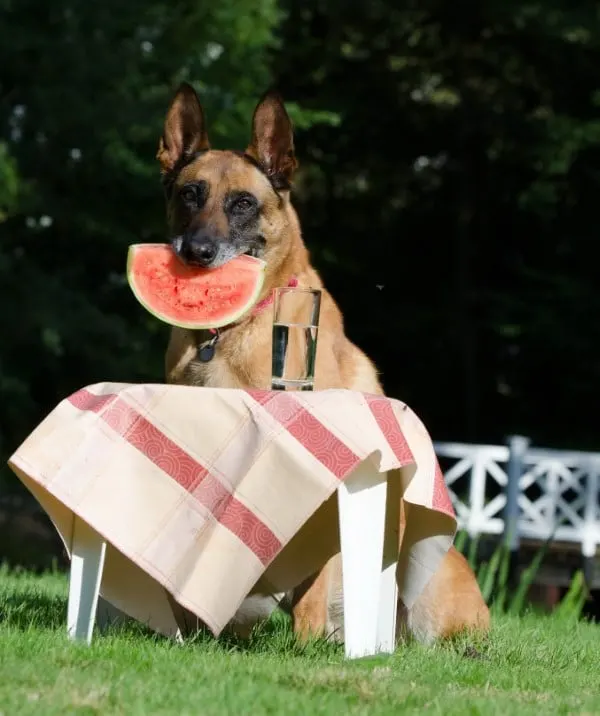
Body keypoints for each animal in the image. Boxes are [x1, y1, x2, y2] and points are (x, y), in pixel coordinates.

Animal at [157, 82, 490, 644]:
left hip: (427, 584)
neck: (232, 330)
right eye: (189, 194)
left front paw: (304, 643)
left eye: (243, 203)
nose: (196, 251)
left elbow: (311, 584)